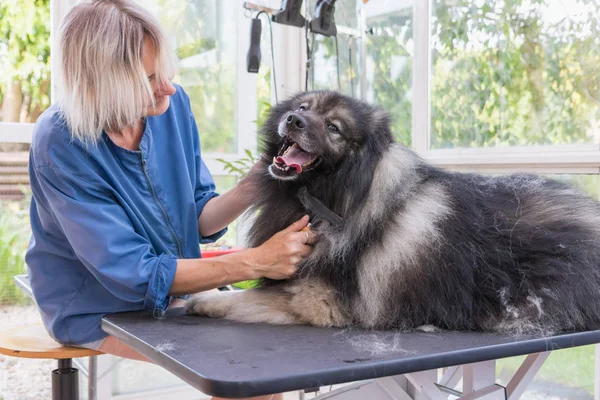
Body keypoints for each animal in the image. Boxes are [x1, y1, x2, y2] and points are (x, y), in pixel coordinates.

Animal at [184, 90, 600, 334]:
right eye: (302, 108)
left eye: (333, 127)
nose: (294, 121)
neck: (329, 193)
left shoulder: (319, 302)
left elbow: (246, 299)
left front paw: (203, 302)